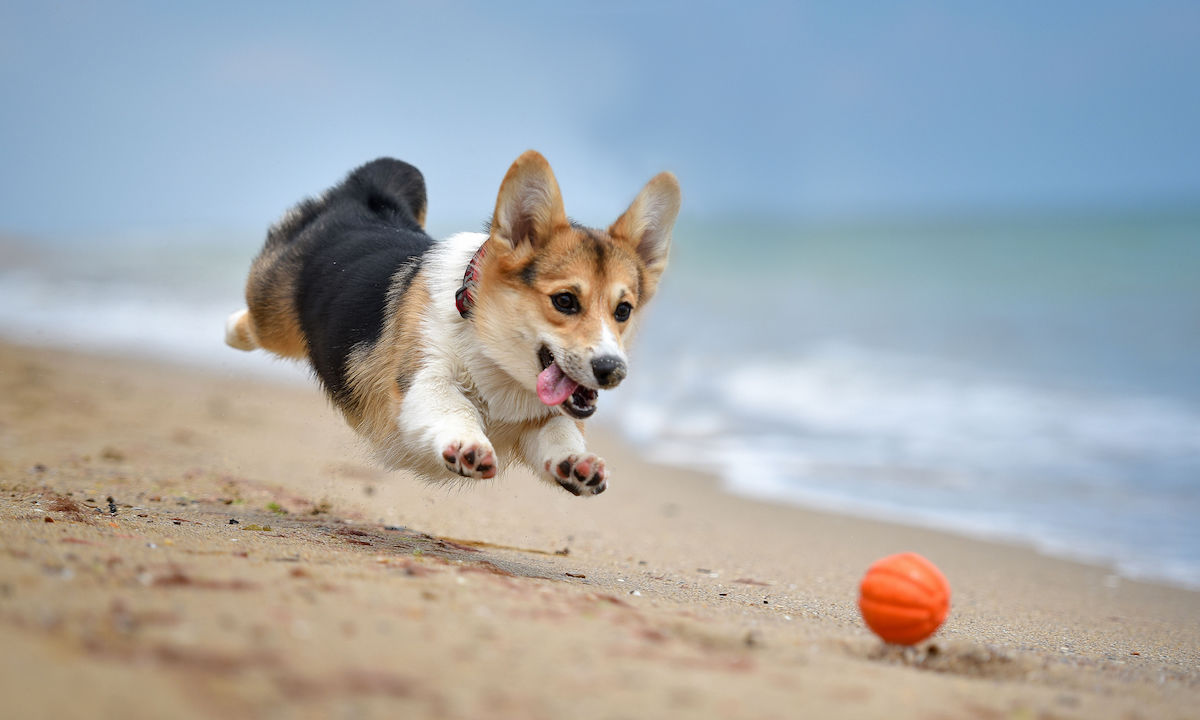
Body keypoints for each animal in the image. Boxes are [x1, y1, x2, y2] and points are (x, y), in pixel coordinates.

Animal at [223, 150, 676, 501]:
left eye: (623, 310)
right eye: (564, 301)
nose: (612, 371)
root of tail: (362, 196)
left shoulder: (541, 419)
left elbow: (559, 431)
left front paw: (579, 464)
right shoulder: (422, 380)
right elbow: (454, 406)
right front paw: (469, 446)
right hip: (273, 318)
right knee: (251, 322)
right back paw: (228, 331)